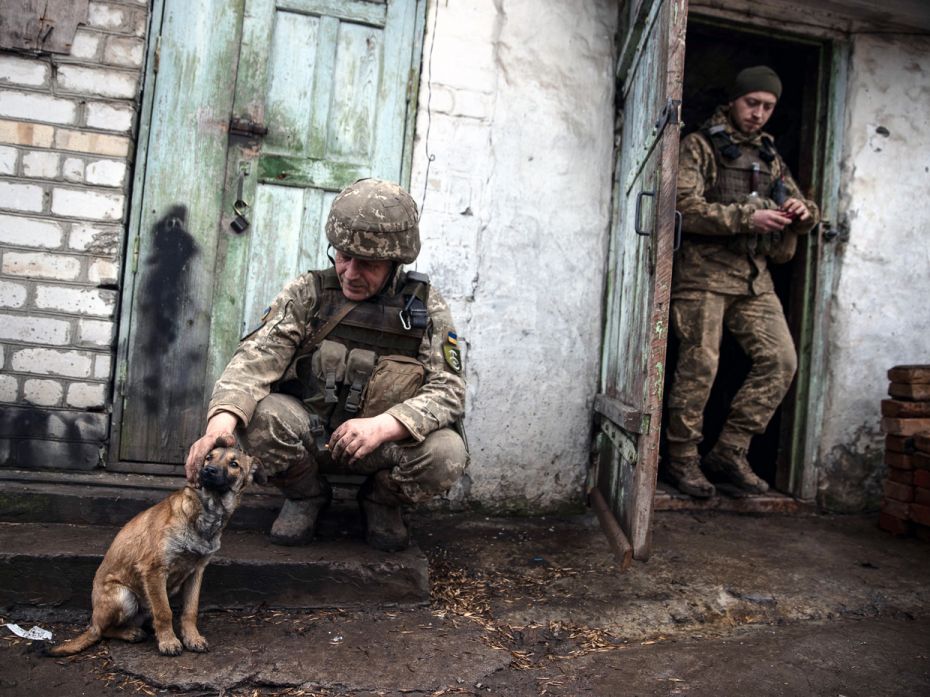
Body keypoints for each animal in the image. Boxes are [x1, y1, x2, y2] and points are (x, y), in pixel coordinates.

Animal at [47, 448, 258, 656]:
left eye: (234, 464)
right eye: (208, 458)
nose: (208, 471)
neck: (207, 512)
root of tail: (93, 622)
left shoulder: (196, 572)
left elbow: (190, 610)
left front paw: (192, 638)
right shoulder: (154, 570)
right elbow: (164, 612)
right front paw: (168, 641)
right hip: (124, 596)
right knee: (102, 631)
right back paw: (131, 633)